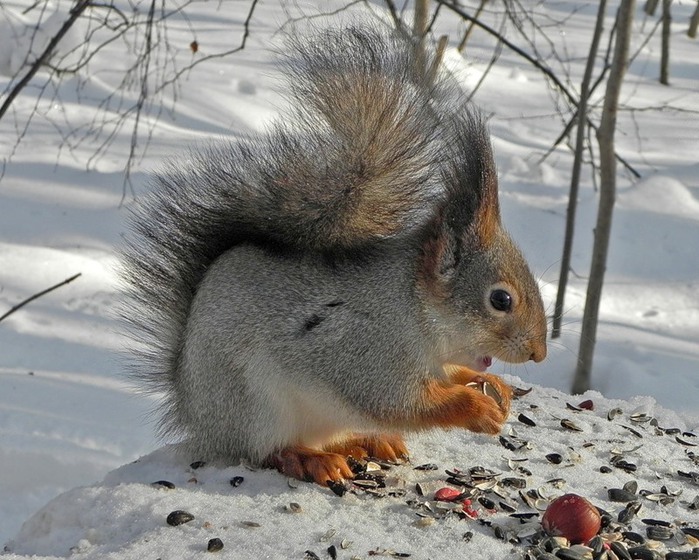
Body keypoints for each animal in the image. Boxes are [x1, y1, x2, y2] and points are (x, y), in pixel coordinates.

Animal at [119, 25, 548, 486]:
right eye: (501, 300)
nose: (539, 353)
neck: (414, 308)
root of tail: (194, 409)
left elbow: (454, 375)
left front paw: (492, 384)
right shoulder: (364, 350)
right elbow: (400, 402)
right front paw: (476, 406)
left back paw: (369, 442)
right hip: (254, 407)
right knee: (265, 451)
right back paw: (310, 458)